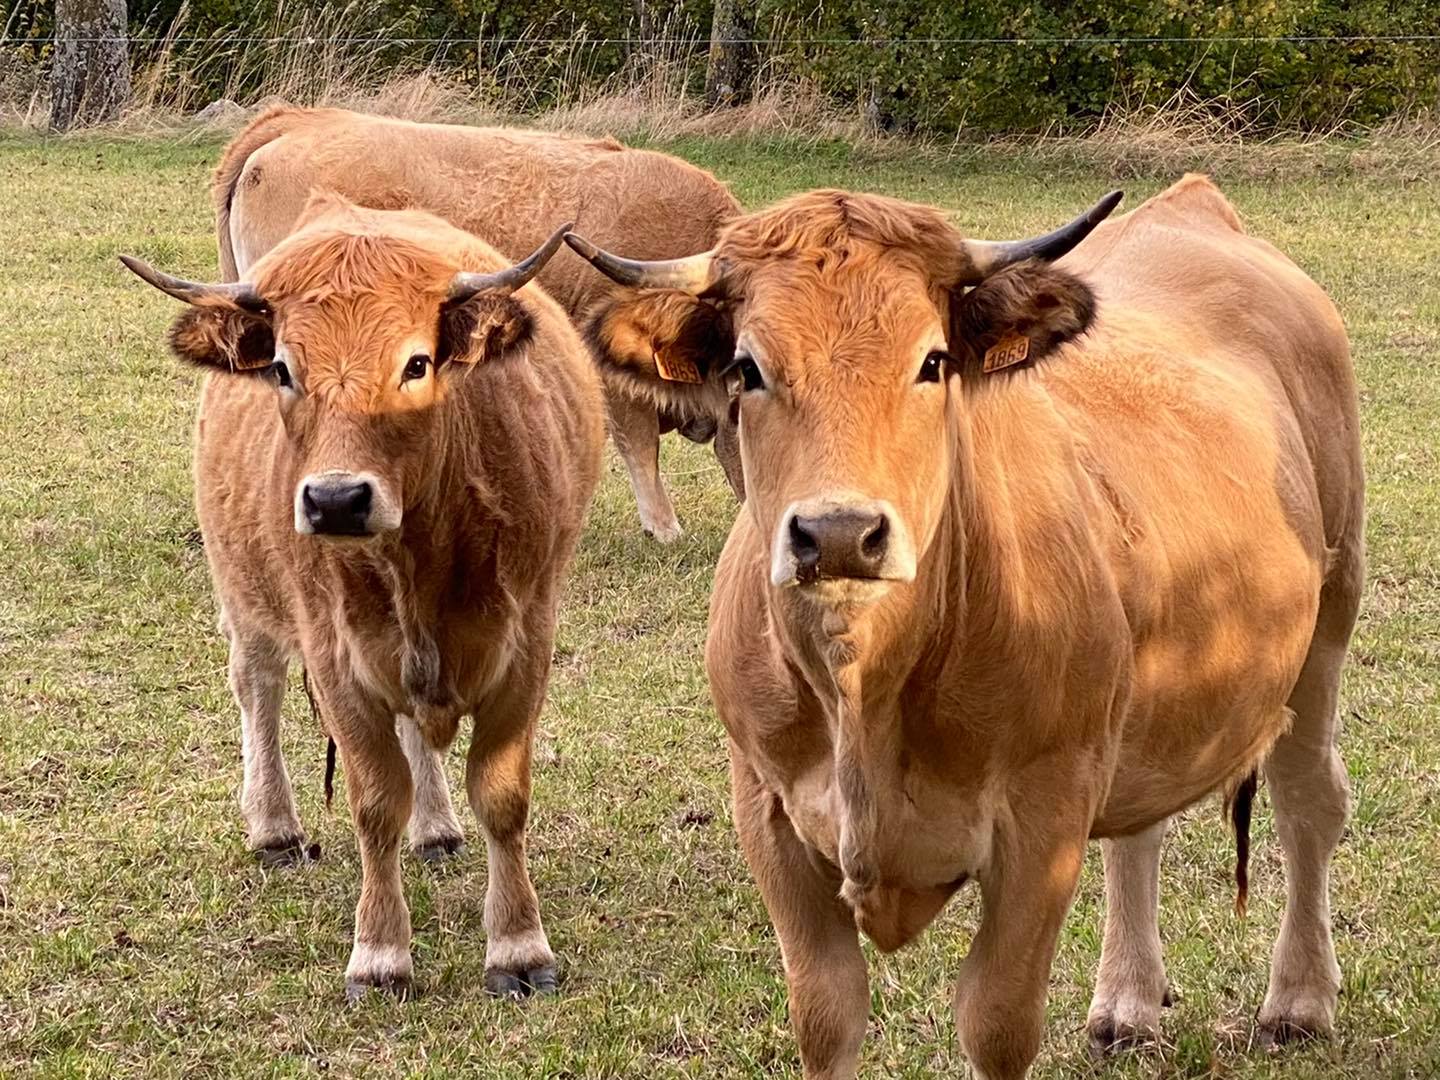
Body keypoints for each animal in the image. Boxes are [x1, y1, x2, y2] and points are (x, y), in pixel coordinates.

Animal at [116, 192, 601, 996]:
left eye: (417, 362)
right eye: (283, 368)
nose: (336, 500)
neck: (419, 560)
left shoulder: (527, 642)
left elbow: (501, 797)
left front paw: (518, 946)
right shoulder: (336, 656)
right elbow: (375, 803)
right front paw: (379, 953)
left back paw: (435, 827)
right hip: (243, 590)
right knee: (257, 686)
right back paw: (275, 827)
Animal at [561, 173, 1359, 1077]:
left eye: (933, 361)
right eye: (746, 367)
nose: (839, 531)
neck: (866, 692)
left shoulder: (1044, 820)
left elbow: (996, 1019)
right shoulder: (765, 807)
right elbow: (825, 1015)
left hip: (1330, 615)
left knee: (1308, 799)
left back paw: (1299, 999)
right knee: (1139, 830)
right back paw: (1127, 1002)